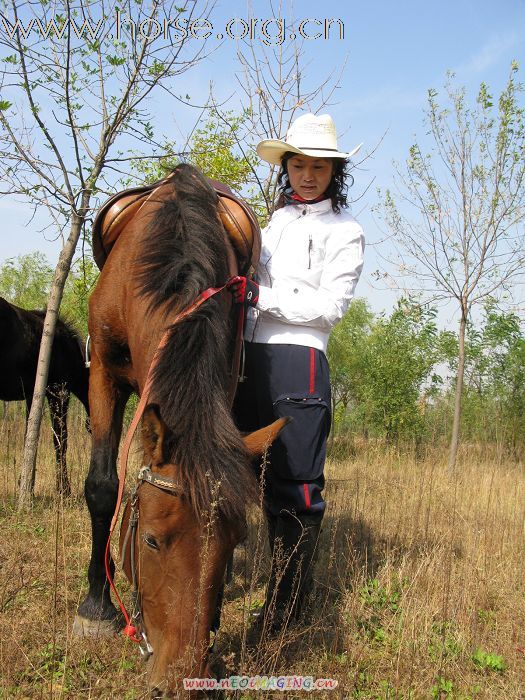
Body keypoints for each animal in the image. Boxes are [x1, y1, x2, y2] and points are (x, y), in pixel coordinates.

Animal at [0, 298, 89, 494]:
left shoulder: (31, 396)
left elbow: (30, 436)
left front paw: (26, 485)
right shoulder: (59, 391)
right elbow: (60, 439)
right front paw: (64, 489)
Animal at [72, 163, 282, 696]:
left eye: (235, 540)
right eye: (150, 540)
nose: (184, 676)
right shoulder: (102, 373)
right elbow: (102, 487)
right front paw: (96, 606)